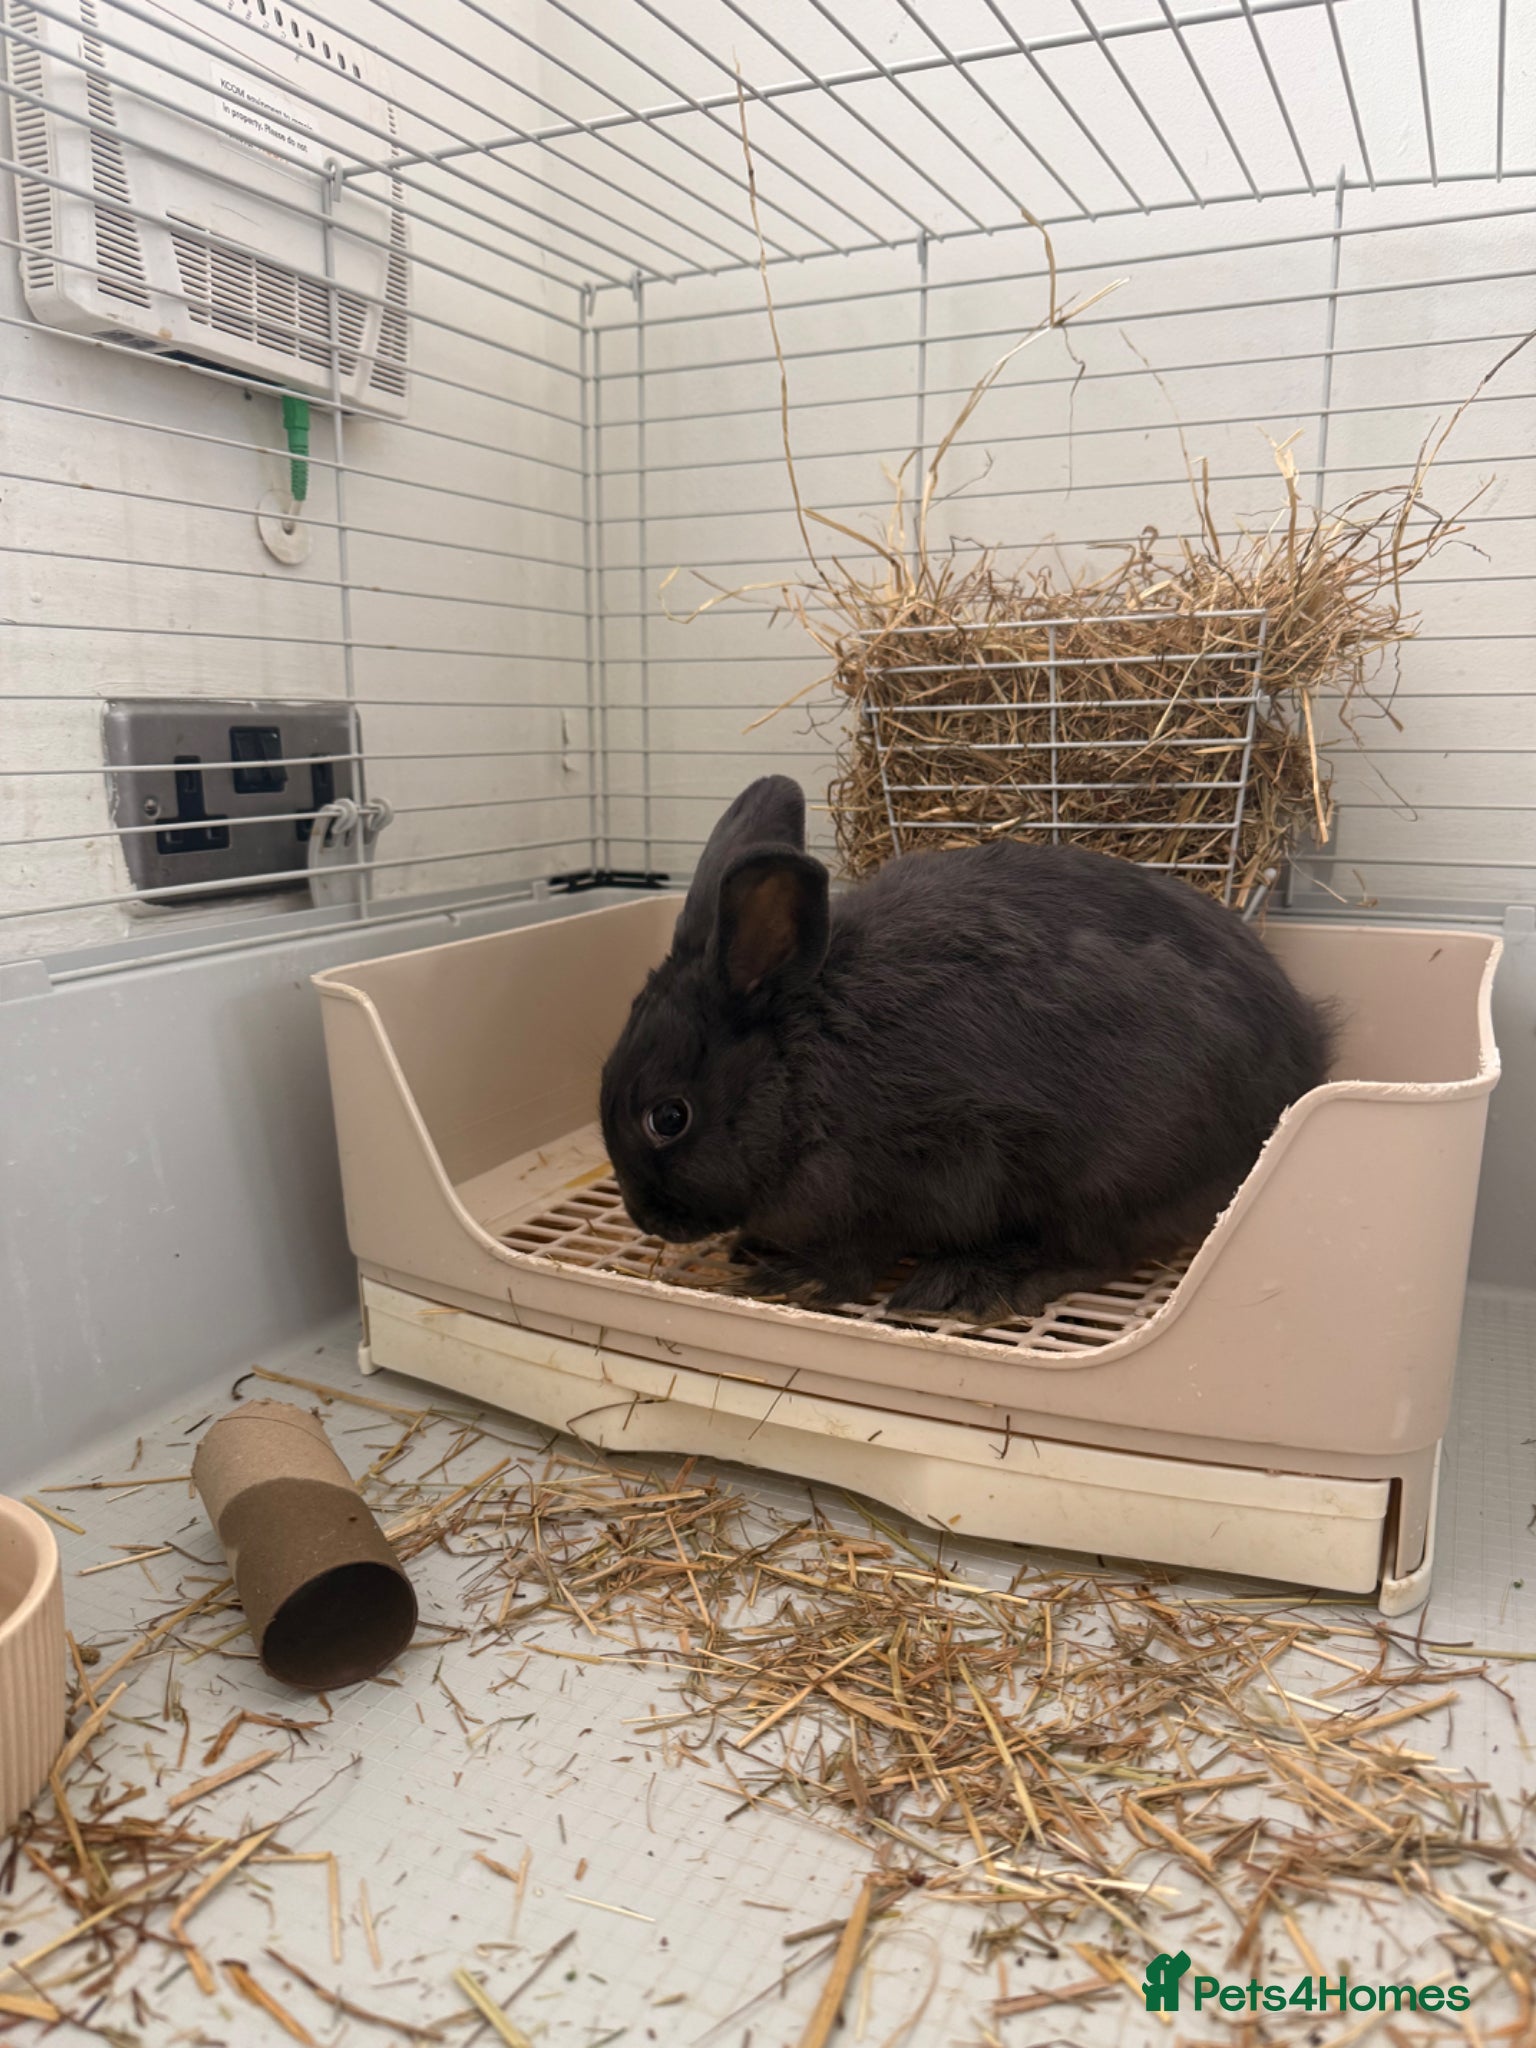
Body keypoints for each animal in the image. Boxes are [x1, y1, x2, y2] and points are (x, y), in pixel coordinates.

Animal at [599, 776, 1332, 1322]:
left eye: (668, 1117)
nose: (645, 1217)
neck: (796, 1077)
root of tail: (1304, 1061)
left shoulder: (911, 1178)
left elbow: (860, 1252)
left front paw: (791, 1278)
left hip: (1110, 1175)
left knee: (1092, 1252)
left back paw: (972, 1284)